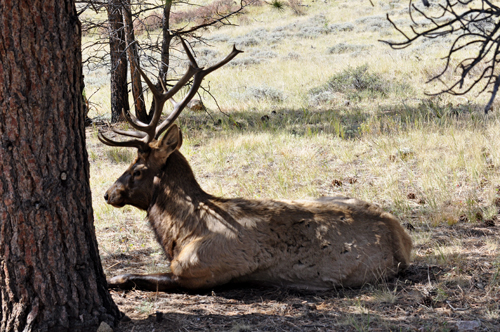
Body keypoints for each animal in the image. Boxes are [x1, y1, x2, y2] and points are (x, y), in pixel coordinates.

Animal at [99, 39, 412, 292]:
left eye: (137, 170)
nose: (108, 193)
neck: (179, 235)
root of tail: (403, 239)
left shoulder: (200, 271)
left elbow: (130, 275)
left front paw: (112, 280)